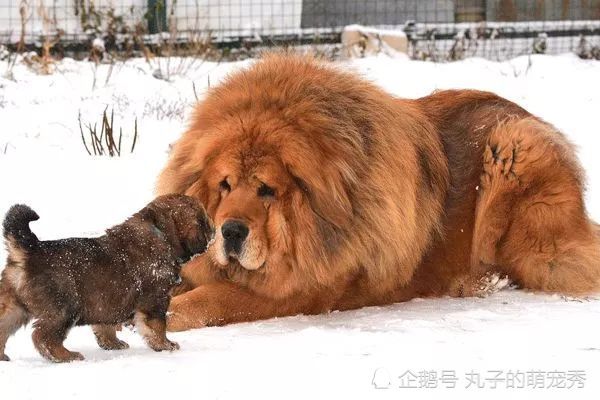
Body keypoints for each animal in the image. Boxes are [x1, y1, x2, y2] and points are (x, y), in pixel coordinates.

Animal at [0, 194, 214, 362]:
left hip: (14, 308)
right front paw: (166, 345)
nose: (214, 229)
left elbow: (106, 326)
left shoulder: (109, 302)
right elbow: (158, 326)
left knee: (4, 328)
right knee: (43, 337)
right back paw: (67, 356)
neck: (160, 233)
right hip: (64, 308)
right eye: (203, 220)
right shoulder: (155, 300)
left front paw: (112, 344)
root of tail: (29, 251)